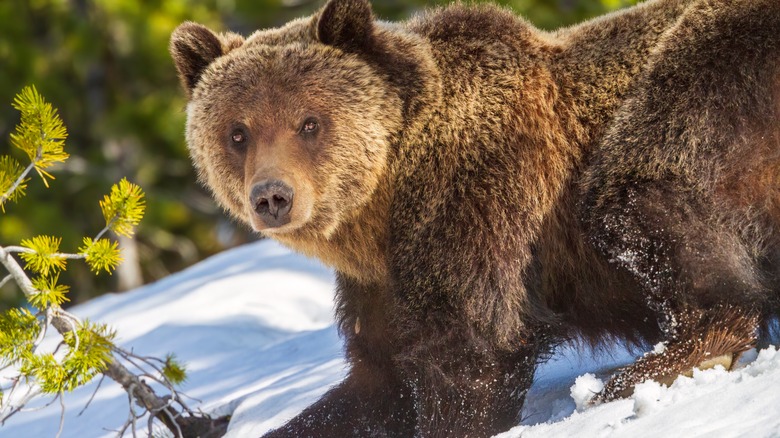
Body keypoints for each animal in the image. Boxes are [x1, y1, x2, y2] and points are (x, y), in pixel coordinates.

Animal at [171, 0, 780, 436]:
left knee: (640, 187)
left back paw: (649, 369)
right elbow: (377, 384)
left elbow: (470, 352)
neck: (380, 212)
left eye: (309, 122)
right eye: (237, 132)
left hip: (714, 79)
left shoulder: (476, 199)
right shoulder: (378, 284)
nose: (272, 196)